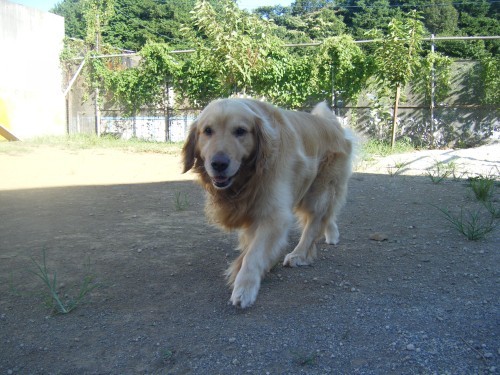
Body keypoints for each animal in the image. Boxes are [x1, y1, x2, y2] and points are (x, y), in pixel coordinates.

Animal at [182, 97, 354, 308]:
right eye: (207, 131)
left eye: (240, 131)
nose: (219, 163)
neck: (249, 177)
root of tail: (332, 123)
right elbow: (251, 244)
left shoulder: (274, 214)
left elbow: (254, 254)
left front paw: (244, 287)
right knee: (327, 215)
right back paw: (332, 234)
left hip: (318, 190)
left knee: (314, 223)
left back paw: (299, 254)